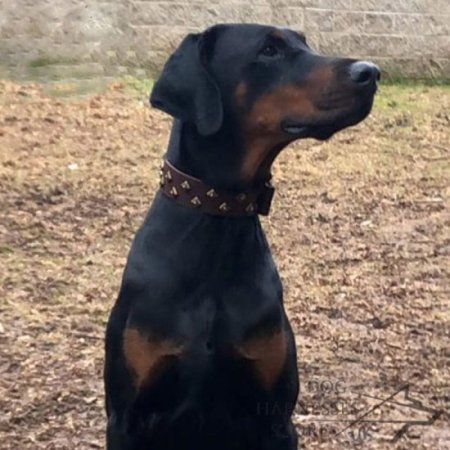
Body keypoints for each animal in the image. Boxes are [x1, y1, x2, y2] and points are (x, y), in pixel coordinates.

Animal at [103, 22, 378, 450]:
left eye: (305, 43)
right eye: (268, 50)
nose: (372, 72)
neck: (218, 219)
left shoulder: (275, 418)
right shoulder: (126, 418)